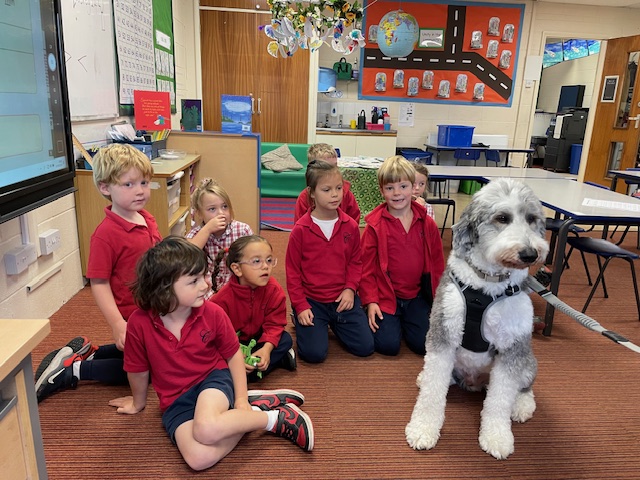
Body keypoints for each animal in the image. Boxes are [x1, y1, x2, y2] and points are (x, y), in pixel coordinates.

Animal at [404, 178, 552, 460]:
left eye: (531, 219)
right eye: (502, 217)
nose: (529, 254)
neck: (486, 284)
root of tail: (473, 383)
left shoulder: (511, 347)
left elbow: (499, 400)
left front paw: (497, 437)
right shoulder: (443, 334)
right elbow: (432, 391)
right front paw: (423, 429)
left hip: (527, 358)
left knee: (523, 387)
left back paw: (521, 405)